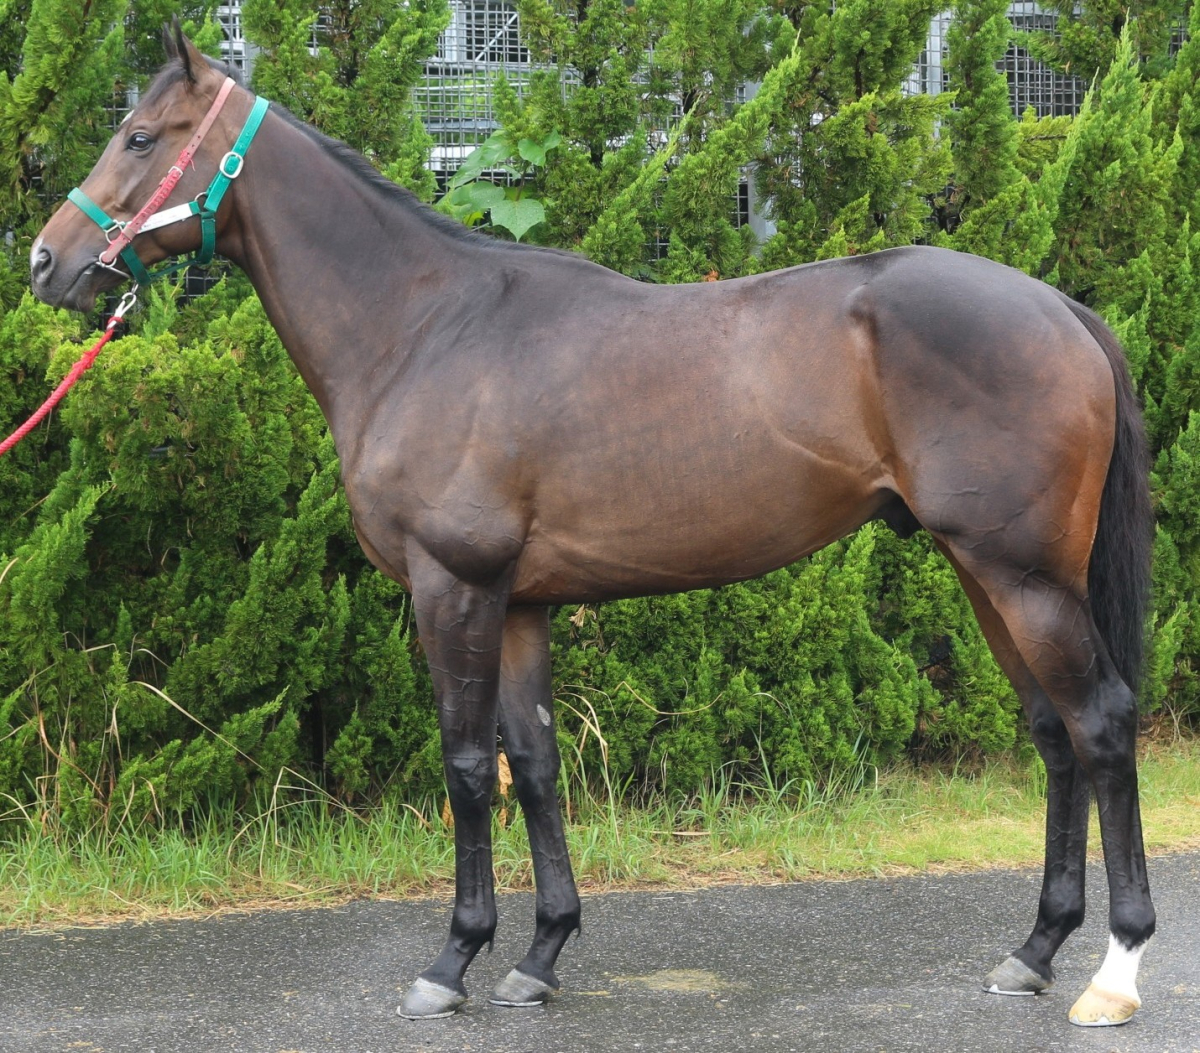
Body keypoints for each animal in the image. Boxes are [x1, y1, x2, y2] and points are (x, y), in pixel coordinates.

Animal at [29, 28, 1155, 1028]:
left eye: (138, 135)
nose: (47, 261)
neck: (422, 327)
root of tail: (1061, 308)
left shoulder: (454, 587)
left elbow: (466, 767)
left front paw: (452, 962)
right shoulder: (521, 603)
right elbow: (533, 765)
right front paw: (539, 957)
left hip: (1023, 576)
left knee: (1100, 723)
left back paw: (1115, 972)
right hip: (985, 573)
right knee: (1053, 732)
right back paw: (1033, 951)